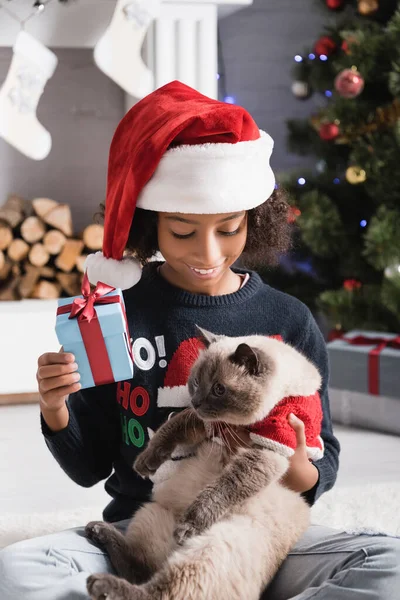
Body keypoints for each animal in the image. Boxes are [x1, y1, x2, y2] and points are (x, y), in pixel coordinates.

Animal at [85, 328, 322, 600]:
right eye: (197, 382)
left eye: (219, 389)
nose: (196, 401)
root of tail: (173, 551)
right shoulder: (206, 422)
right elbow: (172, 427)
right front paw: (145, 463)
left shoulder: (268, 451)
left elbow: (223, 487)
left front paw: (190, 524)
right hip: (150, 513)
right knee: (141, 570)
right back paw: (98, 532)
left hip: (212, 548)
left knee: (158, 591)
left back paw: (101, 582)